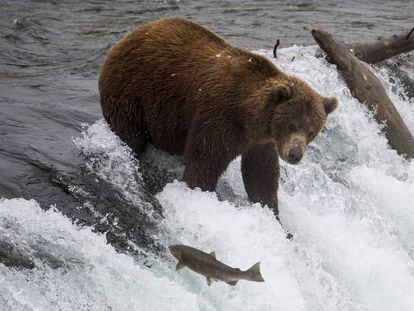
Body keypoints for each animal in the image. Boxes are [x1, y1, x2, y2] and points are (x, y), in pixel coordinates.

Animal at [98, 17, 338, 217]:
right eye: (291, 125)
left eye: (311, 131)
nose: (295, 154)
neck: (250, 117)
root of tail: (127, 37)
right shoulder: (220, 116)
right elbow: (205, 161)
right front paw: (198, 192)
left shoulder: (260, 141)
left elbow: (261, 174)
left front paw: (271, 212)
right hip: (132, 91)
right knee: (131, 135)